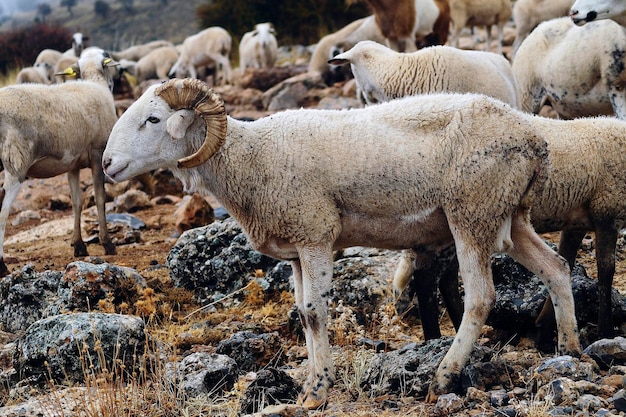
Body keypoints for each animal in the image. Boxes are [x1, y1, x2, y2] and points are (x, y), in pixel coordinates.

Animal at [0, 48, 118, 276]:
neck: (95, 83)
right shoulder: (97, 154)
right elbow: (100, 199)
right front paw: (107, 243)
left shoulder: (72, 164)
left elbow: (77, 202)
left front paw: (79, 245)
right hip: (15, 164)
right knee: (3, 213)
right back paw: (1, 265)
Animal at [102, 77, 580, 406]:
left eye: (153, 119)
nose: (107, 163)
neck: (250, 157)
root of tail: (535, 140)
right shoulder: (296, 250)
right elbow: (301, 313)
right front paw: (309, 388)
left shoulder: (315, 235)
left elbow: (315, 313)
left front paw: (317, 392)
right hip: (509, 215)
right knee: (556, 269)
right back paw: (571, 352)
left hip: (472, 214)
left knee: (481, 297)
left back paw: (444, 376)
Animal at [394, 114, 626, 348]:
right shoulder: (607, 213)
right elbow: (606, 272)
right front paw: (606, 332)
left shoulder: (575, 225)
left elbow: (565, 262)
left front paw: (544, 331)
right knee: (428, 278)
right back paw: (435, 336)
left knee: (443, 277)